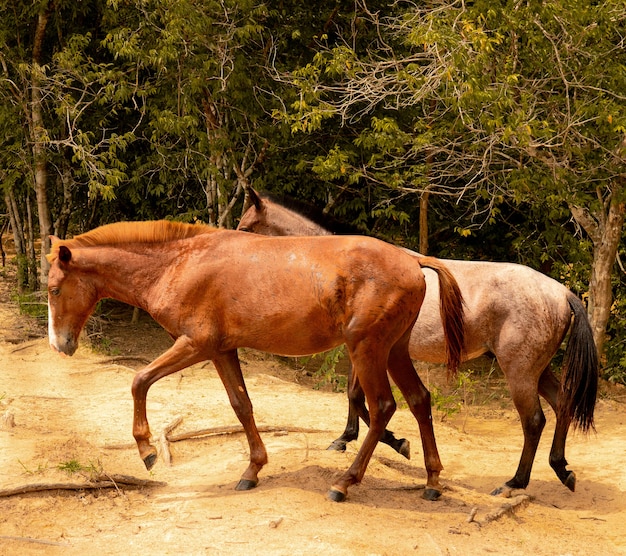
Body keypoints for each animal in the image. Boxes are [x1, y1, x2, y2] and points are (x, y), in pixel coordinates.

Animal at [46, 219, 464, 502]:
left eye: (54, 289)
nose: (60, 344)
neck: (179, 264)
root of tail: (414, 263)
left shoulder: (195, 344)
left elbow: (140, 380)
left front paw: (147, 449)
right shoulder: (221, 351)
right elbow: (241, 405)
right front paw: (253, 469)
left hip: (368, 349)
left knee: (382, 408)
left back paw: (344, 483)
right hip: (393, 350)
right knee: (419, 401)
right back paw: (431, 480)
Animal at [236, 189, 596, 498]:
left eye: (246, 227)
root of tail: (562, 292)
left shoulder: (366, 350)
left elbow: (361, 399)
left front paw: (391, 442)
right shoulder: (366, 351)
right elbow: (355, 396)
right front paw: (352, 439)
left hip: (519, 371)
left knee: (534, 420)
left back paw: (514, 483)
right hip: (538, 369)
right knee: (562, 403)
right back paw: (562, 470)